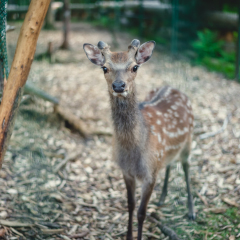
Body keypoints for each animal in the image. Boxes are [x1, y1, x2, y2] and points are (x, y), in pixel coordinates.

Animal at [83, 39, 195, 240]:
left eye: (134, 67)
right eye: (104, 68)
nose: (119, 86)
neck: (133, 151)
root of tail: (175, 88)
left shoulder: (150, 174)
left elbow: (142, 212)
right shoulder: (126, 171)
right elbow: (130, 206)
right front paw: (128, 236)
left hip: (189, 140)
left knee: (186, 167)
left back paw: (191, 211)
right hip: (167, 153)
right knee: (169, 163)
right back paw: (162, 198)